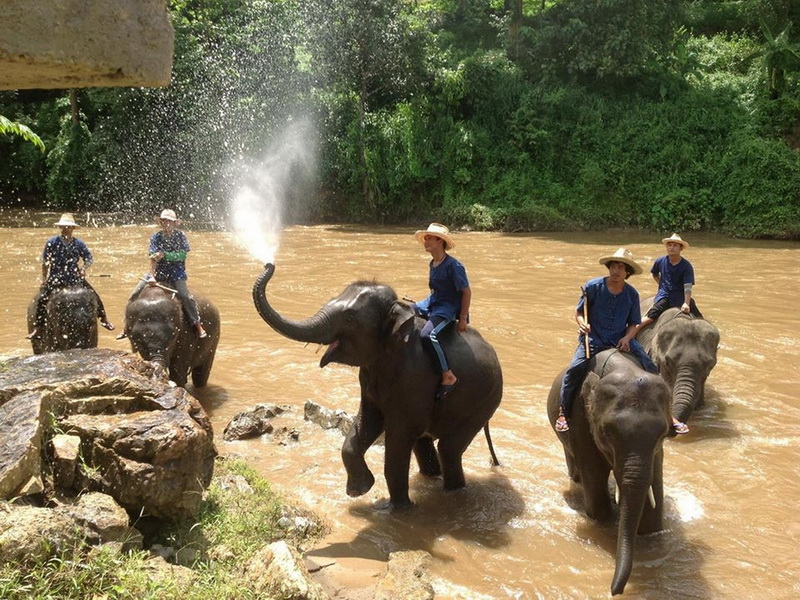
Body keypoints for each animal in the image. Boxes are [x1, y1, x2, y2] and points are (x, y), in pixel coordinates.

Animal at [252, 263, 502, 509]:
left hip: (484, 401)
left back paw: (453, 493)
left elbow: (399, 435)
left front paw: (397, 510)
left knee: (449, 449)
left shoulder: (414, 378)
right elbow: (367, 422)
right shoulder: (370, 379)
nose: (269, 263)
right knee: (425, 444)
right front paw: (359, 490)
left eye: (350, 318)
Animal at [547, 349, 672, 596]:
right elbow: (594, 478)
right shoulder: (580, 419)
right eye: (606, 432)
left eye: (663, 434)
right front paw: (605, 519)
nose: (615, 591)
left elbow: (653, 490)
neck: (627, 368)